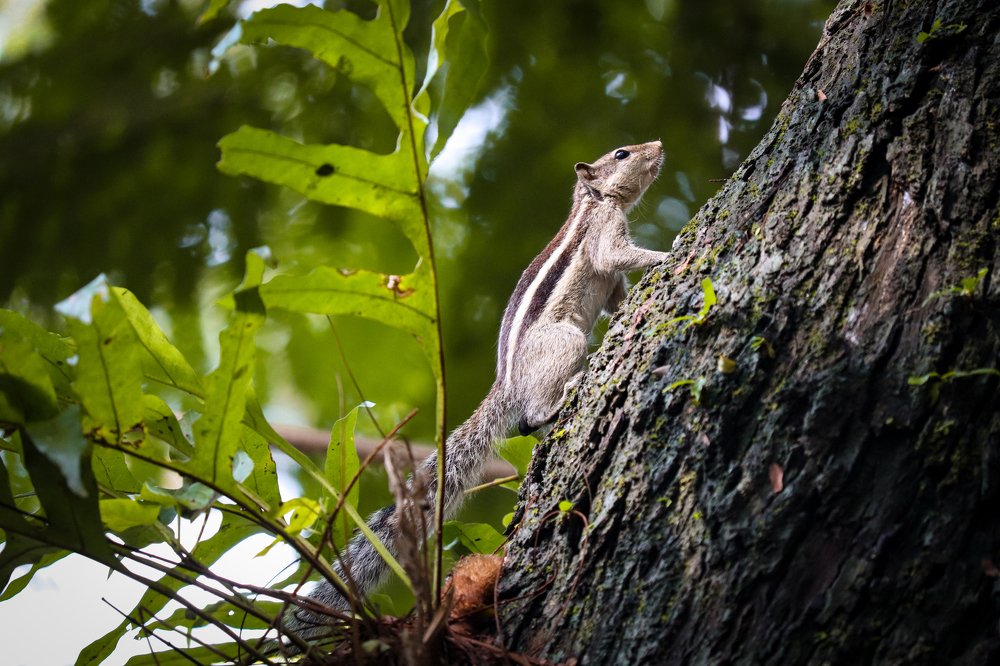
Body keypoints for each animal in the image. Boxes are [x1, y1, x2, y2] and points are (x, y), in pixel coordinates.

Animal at [285, 140, 669, 639]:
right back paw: (565, 392)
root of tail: (506, 384)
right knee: (530, 414)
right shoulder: (604, 235)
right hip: (565, 341)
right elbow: (617, 256)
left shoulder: (612, 277)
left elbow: (618, 294)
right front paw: (665, 255)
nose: (657, 146)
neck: (593, 201)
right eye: (622, 154)